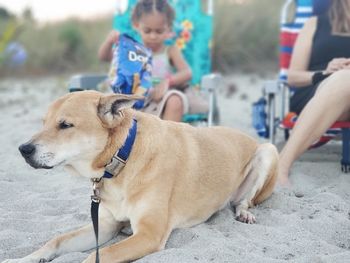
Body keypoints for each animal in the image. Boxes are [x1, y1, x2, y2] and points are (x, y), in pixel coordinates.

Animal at [4, 91, 278, 263]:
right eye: (44, 122)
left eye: (65, 125)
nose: (23, 149)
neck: (122, 158)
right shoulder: (105, 225)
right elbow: (56, 240)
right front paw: (20, 259)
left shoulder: (149, 234)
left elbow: (98, 255)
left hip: (268, 151)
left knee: (245, 201)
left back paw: (244, 212)